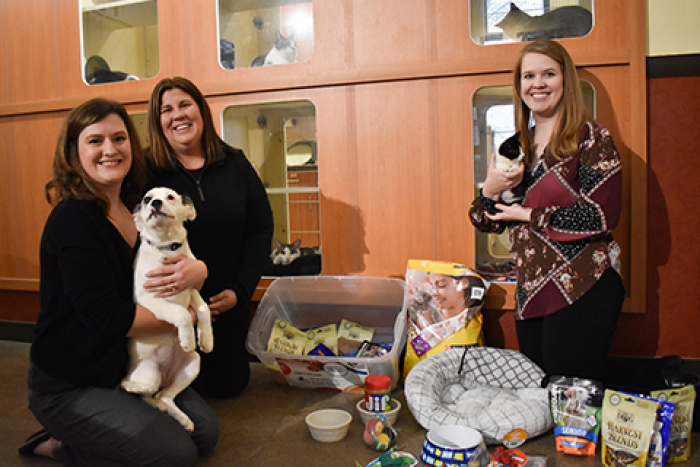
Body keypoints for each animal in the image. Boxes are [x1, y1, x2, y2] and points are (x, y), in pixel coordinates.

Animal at [121, 186, 213, 432]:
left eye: (170, 197)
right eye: (146, 199)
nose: (155, 203)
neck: (166, 248)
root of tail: (164, 376)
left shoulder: (192, 290)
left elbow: (204, 310)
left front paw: (206, 339)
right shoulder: (149, 299)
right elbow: (180, 313)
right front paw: (188, 339)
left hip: (192, 365)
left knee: (163, 397)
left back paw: (182, 419)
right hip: (150, 371)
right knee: (146, 394)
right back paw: (132, 386)